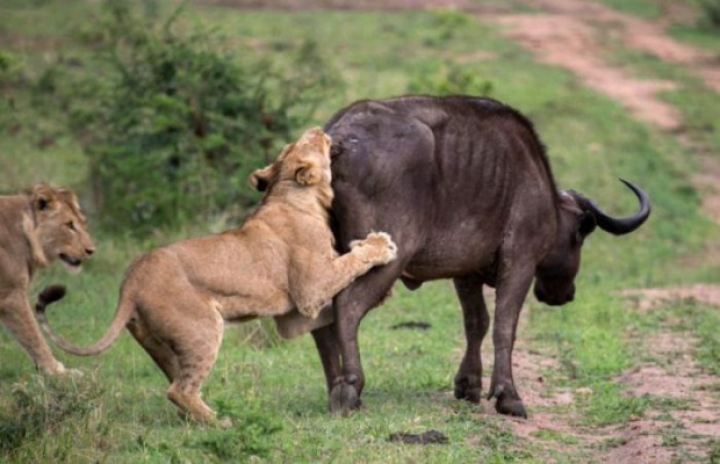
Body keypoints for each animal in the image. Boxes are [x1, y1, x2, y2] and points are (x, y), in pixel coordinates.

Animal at [0, 183, 95, 376]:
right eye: (69, 225)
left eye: (83, 223)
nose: (91, 250)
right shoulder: (11, 295)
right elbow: (34, 336)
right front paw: (57, 372)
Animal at [35, 127, 400, 424]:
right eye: (308, 143)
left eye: (290, 145)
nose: (319, 129)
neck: (291, 194)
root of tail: (130, 281)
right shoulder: (310, 290)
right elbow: (349, 263)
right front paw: (380, 245)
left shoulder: (292, 317)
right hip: (202, 328)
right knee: (179, 390)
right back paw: (222, 422)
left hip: (162, 344)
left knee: (177, 386)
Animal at [310, 94, 652, 416]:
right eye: (580, 236)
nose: (564, 295)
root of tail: (339, 140)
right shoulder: (520, 263)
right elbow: (505, 326)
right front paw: (507, 396)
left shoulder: (466, 272)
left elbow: (477, 322)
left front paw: (468, 384)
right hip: (386, 258)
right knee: (348, 307)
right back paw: (350, 388)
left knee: (322, 315)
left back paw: (334, 387)